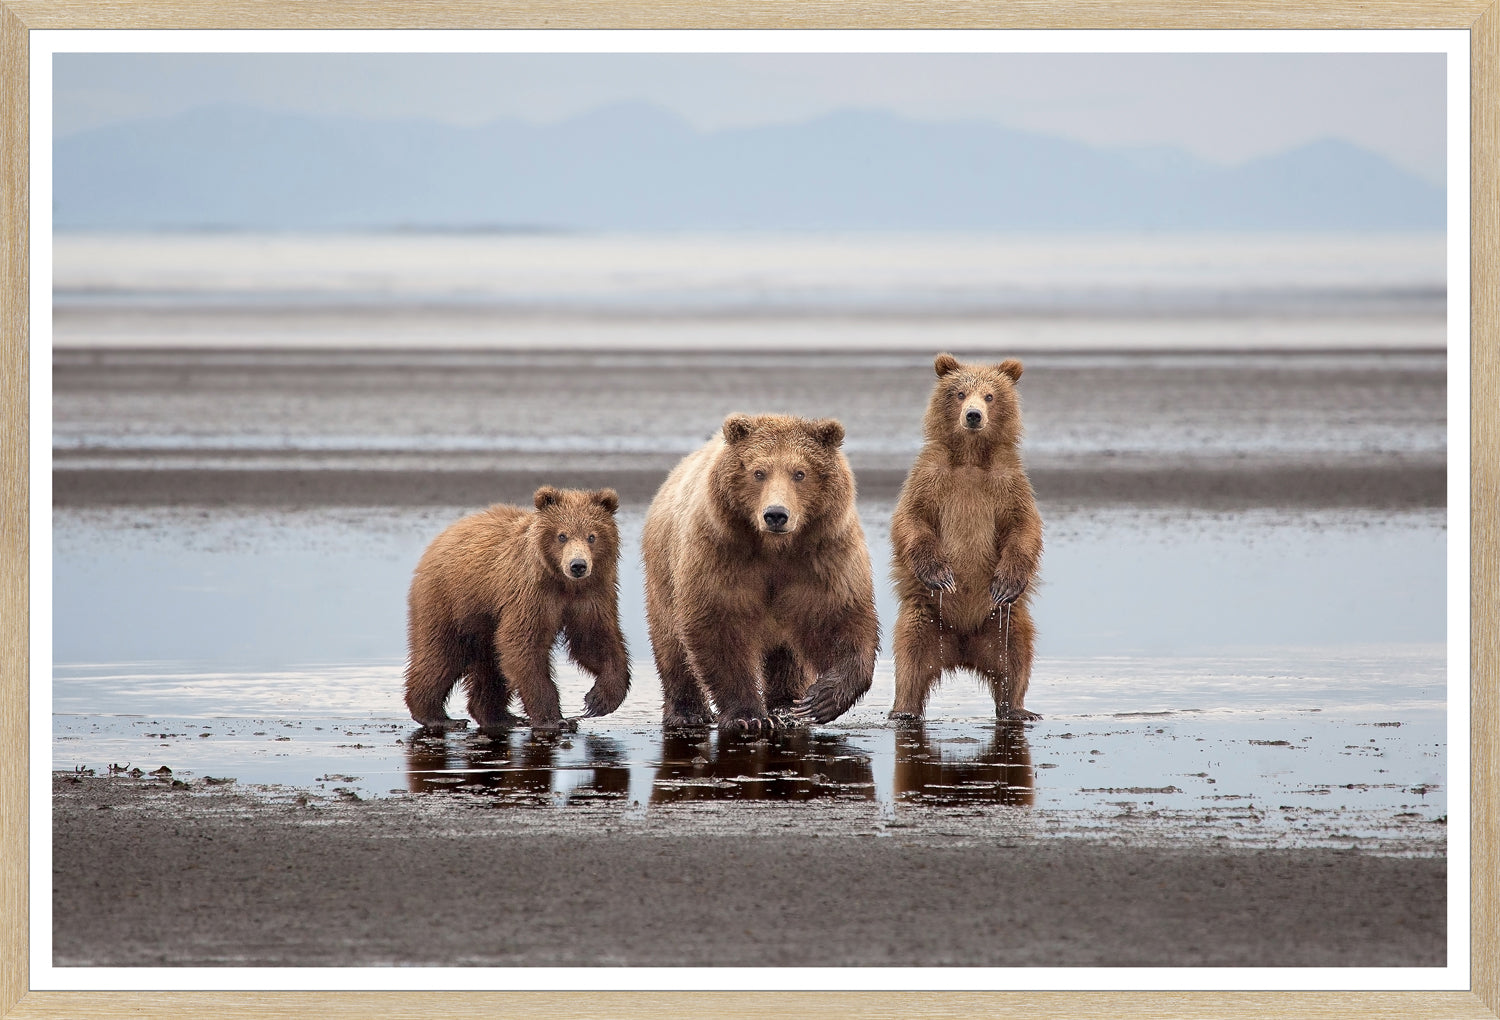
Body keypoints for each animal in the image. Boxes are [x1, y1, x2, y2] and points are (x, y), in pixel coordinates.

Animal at [404, 486, 630, 732]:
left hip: (484, 620)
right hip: (450, 601)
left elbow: (594, 641)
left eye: (592, 536)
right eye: (562, 535)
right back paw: (439, 717)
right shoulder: (530, 595)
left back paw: (501, 717)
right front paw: (555, 719)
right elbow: (523, 644)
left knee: (490, 666)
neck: (562, 584)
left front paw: (599, 699)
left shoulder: (591, 595)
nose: (578, 565)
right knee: (441, 655)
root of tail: (444, 535)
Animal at [642, 413, 880, 736]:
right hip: (664, 571)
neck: (774, 549)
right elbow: (720, 624)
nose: (776, 514)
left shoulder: (822, 555)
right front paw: (747, 715)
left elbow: (840, 618)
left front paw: (821, 700)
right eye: (758, 472)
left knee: (787, 654)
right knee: (671, 643)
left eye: (800, 473)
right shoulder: (721, 553)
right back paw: (687, 712)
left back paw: (786, 706)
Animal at [889, 353, 1043, 722]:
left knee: (1017, 657)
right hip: (925, 617)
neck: (971, 457)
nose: (973, 415)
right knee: (909, 659)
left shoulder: (1008, 483)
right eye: (960, 393)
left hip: (1002, 622)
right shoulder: (930, 478)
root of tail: (961, 648)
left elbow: (1024, 527)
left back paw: (1018, 709)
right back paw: (904, 711)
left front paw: (1006, 582)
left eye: (990, 395)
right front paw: (941, 574)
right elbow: (911, 519)